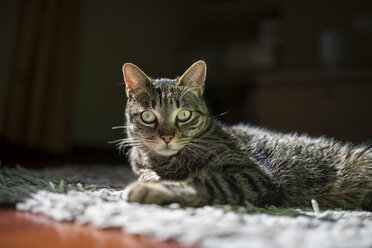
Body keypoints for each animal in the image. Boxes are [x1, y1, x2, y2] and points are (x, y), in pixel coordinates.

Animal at [121, 61, 372, 210]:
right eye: (148, 117)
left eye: (183, 115)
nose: (166, 137)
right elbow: (144, 172)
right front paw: (150, 178)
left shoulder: (252, 176)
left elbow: (203, 183)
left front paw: (153, 189)